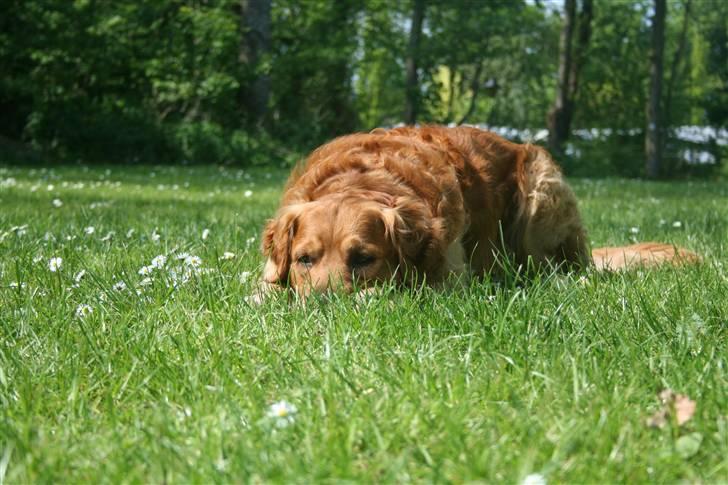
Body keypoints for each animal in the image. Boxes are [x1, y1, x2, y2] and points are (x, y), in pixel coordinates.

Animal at [262, 125, 700, 294]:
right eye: (303, 260)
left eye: (364, 259)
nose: (323, 304)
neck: (367, 178)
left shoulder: (450, 279)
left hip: (540, 189)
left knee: (550, 267)